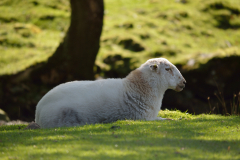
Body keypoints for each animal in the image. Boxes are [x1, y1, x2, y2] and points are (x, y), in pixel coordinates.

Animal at [35, 58, 186, 128]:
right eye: (167, 69)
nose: (184, 82)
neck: (135, 87)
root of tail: (38, 109)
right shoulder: (142, 118)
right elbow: (167, 120)